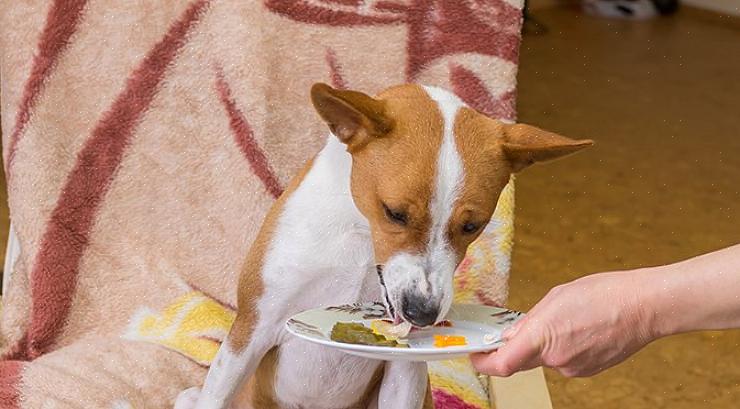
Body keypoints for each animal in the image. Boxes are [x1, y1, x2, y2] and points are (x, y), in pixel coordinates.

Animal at [176, 83, 592, 408]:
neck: (361, 241)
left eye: (471, 226)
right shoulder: (253, 329)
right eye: (394, 213)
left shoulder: (402, 367)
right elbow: (219, 391)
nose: (422, 313)